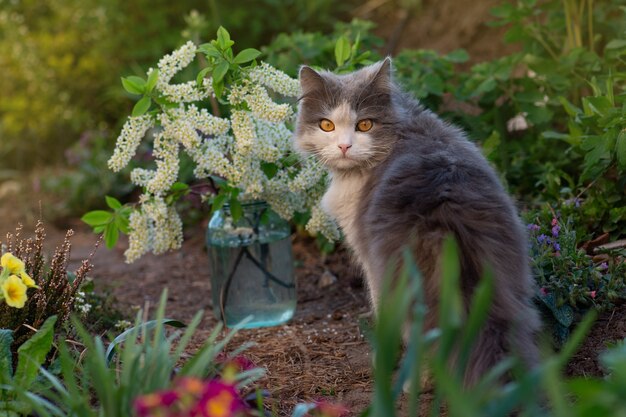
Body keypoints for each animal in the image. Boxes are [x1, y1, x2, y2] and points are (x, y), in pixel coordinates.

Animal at [294, 57, 540, 386]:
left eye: (365, 125)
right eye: (327, 125)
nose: (344, 147)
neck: (403, 129)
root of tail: (447, 212)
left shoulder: (369, 257)